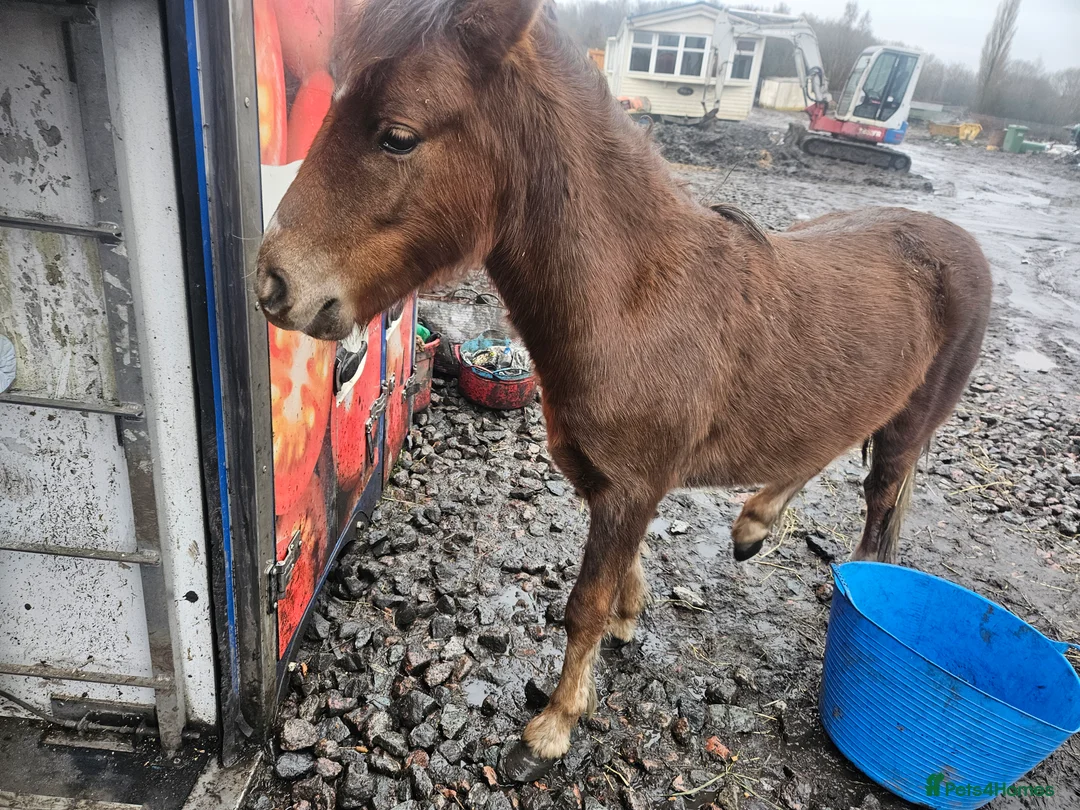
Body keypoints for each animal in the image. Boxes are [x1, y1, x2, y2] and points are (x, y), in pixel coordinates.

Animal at [255, 0, 991, 779]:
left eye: (397, 136)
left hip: (910, 424)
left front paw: (553, 726)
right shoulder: (614, 482)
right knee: (819, 449)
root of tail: (962, 247)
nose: (272, 284)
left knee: (880, 507)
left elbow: (584, 601)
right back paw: (753, 525)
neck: (634, 302)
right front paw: (630, 621)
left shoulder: (630, 487)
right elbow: (624, 571)